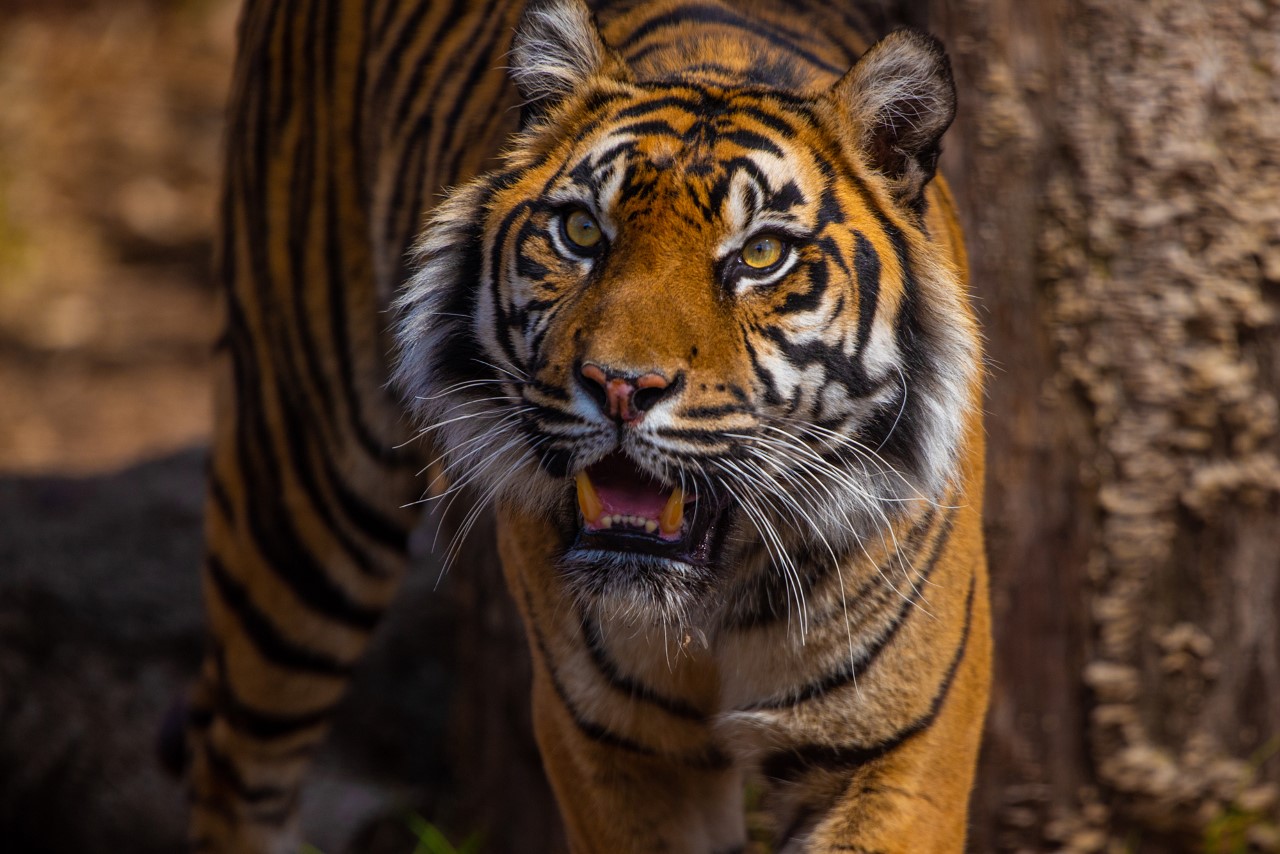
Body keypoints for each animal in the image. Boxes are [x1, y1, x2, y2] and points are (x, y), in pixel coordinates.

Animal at [185, 1, 993, 854]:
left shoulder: (892, 754)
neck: (715, 598)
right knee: (233, 762)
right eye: (579, 232)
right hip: (299, 487)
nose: (621, 386)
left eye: (762, 254)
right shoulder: (615, 748)